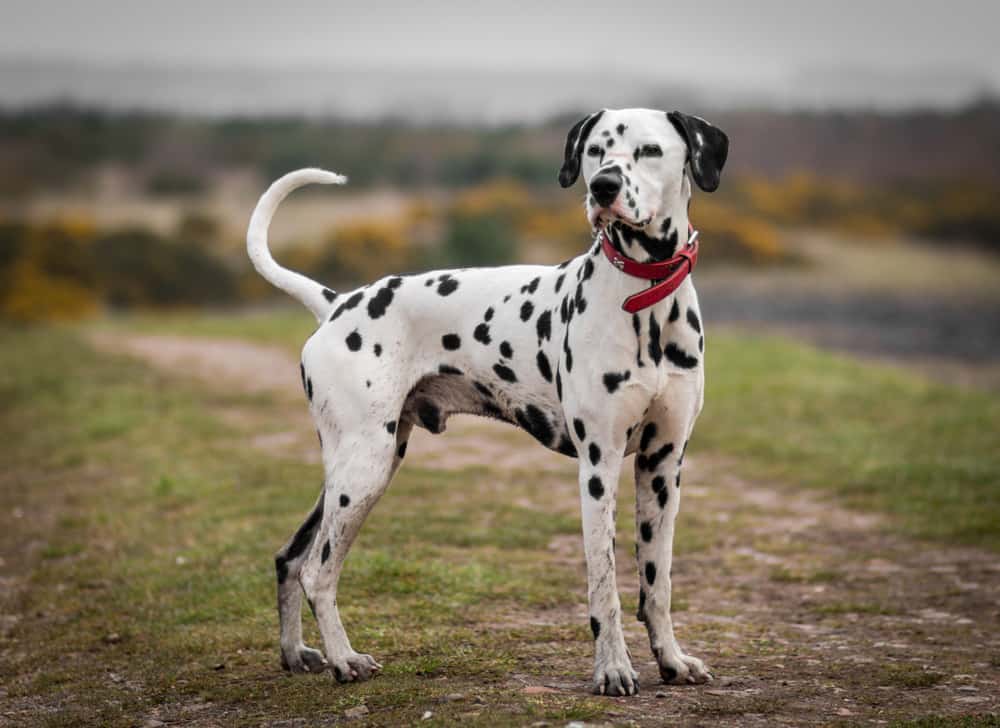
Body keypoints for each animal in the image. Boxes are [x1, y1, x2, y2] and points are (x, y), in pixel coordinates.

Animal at [242, 106, 728, 692]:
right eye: (595, 151)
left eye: (650, 151)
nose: (603, 186)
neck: (644, 301)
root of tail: (336, 303)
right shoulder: (599, 465)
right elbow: (604, 586)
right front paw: (612, 668)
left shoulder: (662, 464)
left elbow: (658, 582)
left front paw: (672, 659)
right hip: (364, 470)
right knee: (318, 570)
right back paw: (344, 659)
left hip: (354, 471)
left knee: (290, 559)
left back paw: (296, 652)